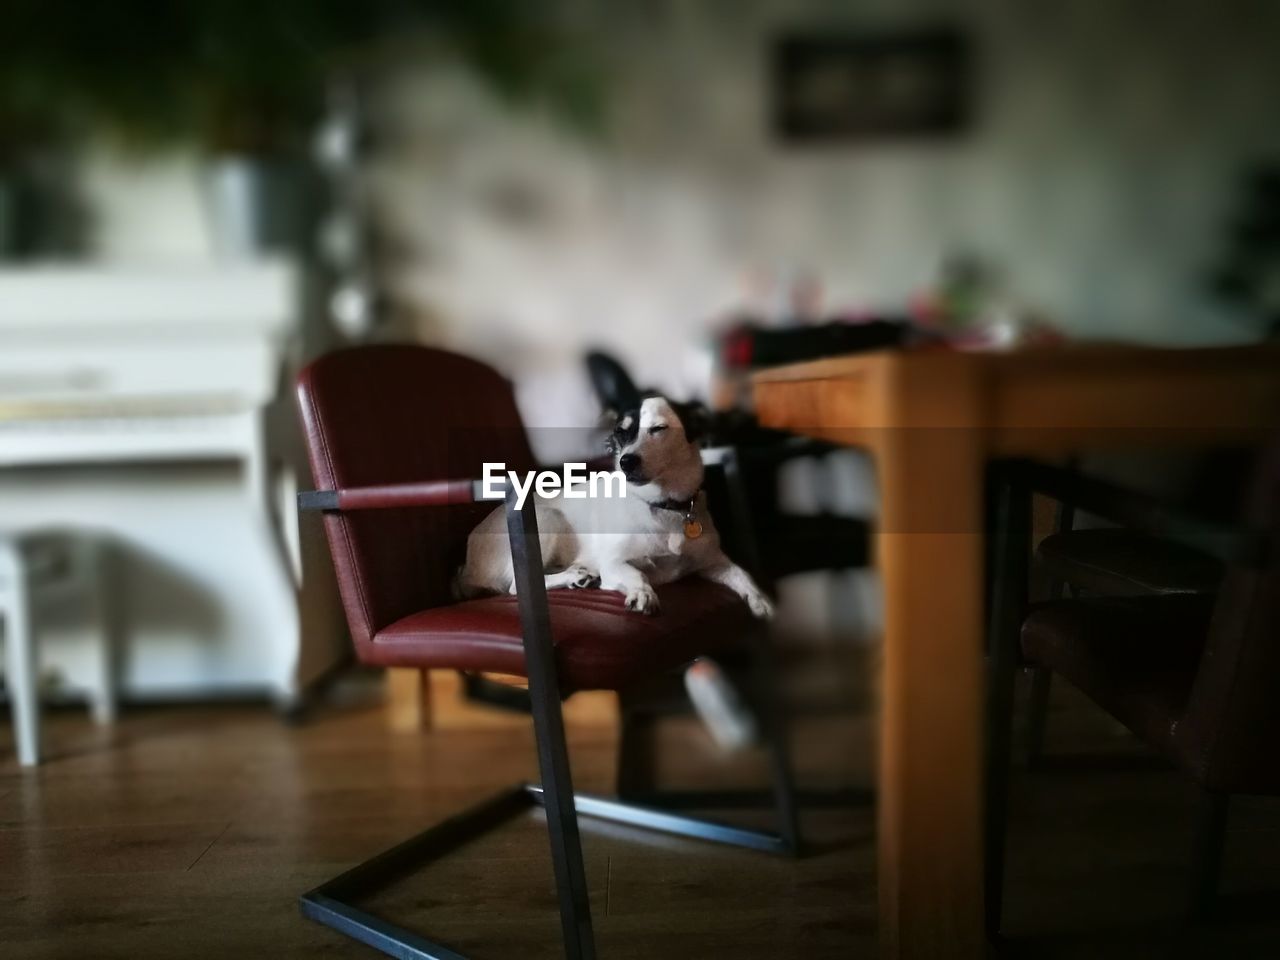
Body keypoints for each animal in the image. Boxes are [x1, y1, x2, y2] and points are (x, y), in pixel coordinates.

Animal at [455, 394, 773, 619]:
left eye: (658, 429)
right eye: (621, 433)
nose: (626, 461)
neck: (662, 505)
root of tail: (466, 567)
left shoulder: (714, 562)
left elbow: (742, 574)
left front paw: (761, 600)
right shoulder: (614, 562)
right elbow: (637, 574)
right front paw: (643, 593)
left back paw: (578, 574)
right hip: (547, 518)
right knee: (514, 587)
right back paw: (574, 576)